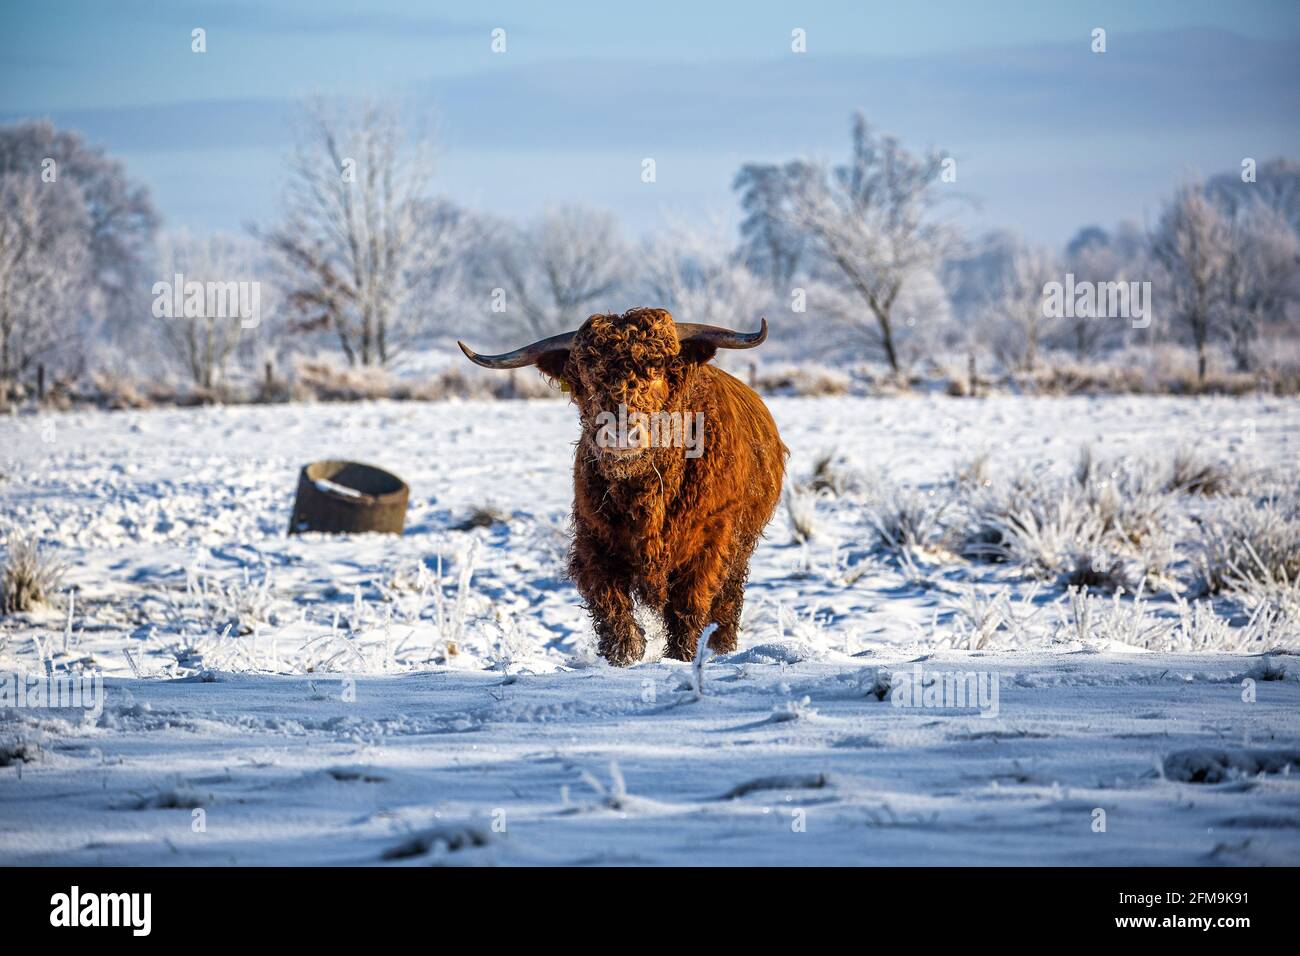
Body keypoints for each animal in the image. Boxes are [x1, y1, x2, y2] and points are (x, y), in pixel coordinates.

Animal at [460, 306, 780, 665]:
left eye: (656, 372)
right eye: (589, 377)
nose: (621, 430)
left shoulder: (711, 540)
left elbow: (688, 606)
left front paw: (682, 656)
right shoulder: (593, 540)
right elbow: (610, 604)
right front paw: (623, 653)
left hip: (741, 547)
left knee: (728, 601)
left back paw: (722, 646)